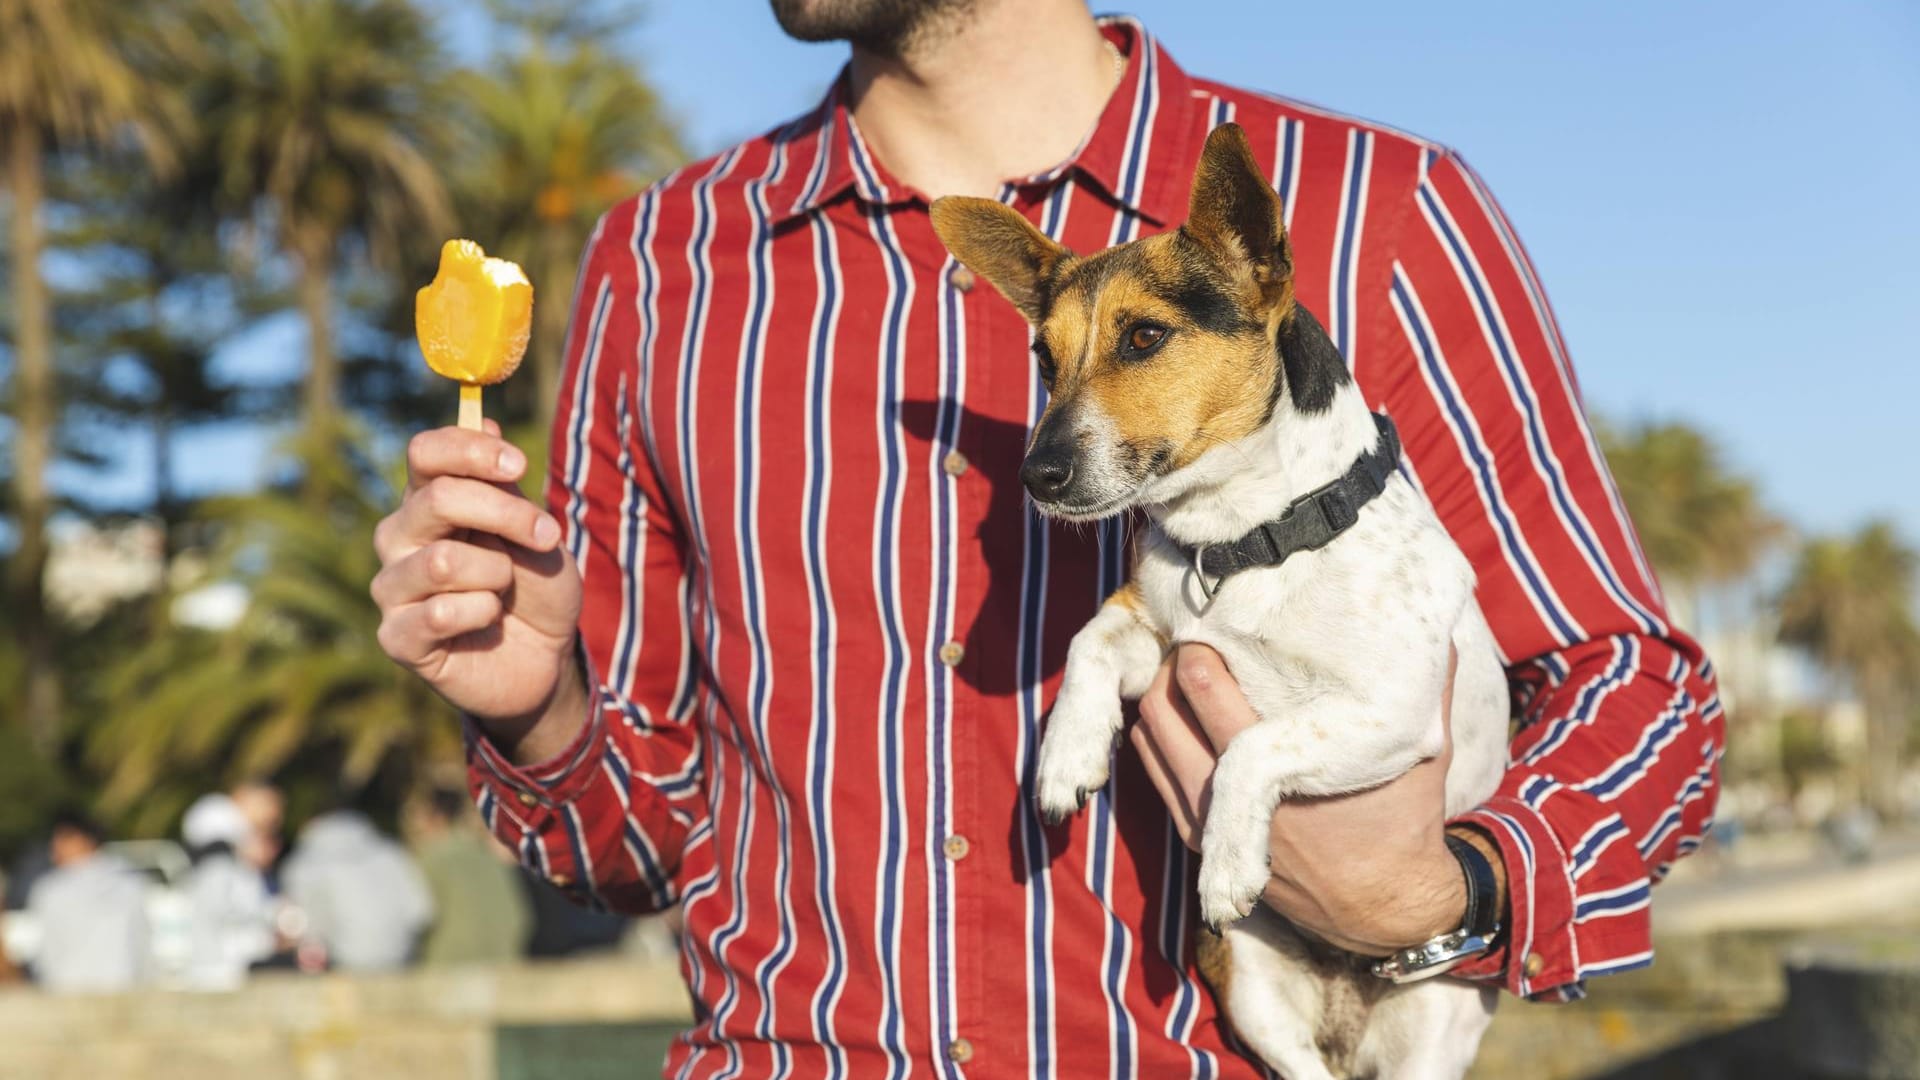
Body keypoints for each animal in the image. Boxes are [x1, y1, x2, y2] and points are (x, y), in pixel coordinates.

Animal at [929, 119, 1512, 1076]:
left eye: (1143, 337)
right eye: (1044, 359)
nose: (1036, 475)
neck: (1243, 541)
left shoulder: (1392, 710)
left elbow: (1256, 744)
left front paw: (1230, 859)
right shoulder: (1156, 633)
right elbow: (1089, 642)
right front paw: (1065, 757)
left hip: (1434, 1032)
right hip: (1248, 986)